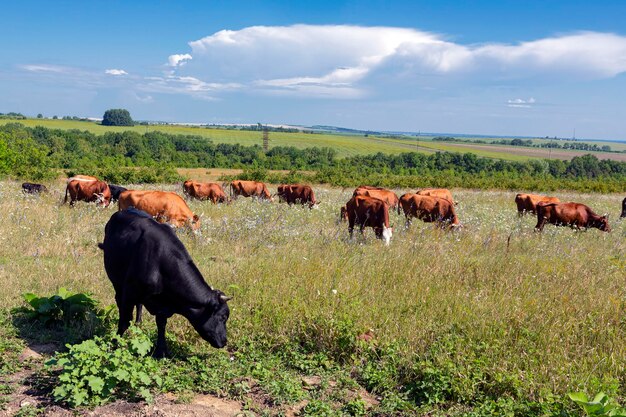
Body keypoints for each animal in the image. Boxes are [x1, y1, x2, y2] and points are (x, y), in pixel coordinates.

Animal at [98, 210, 230, 356]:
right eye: (223, 316)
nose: (224, 341)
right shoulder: (130, 292)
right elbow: (124, 321)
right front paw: (114, 343)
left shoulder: (162, 305)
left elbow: (161, 324)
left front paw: (161, 351)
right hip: (116, 281)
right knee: (118, 299)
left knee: (139, 305)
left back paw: (138, 324)